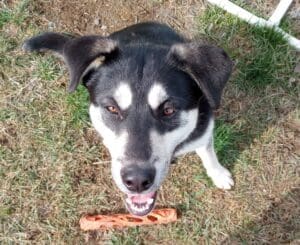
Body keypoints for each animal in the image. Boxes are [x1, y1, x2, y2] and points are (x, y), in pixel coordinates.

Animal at [23, 21, 234, 216]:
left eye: (169, 110)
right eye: (112, 108)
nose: (137, 181)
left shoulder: (203, 132)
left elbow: (208, 154)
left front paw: (218, 174)